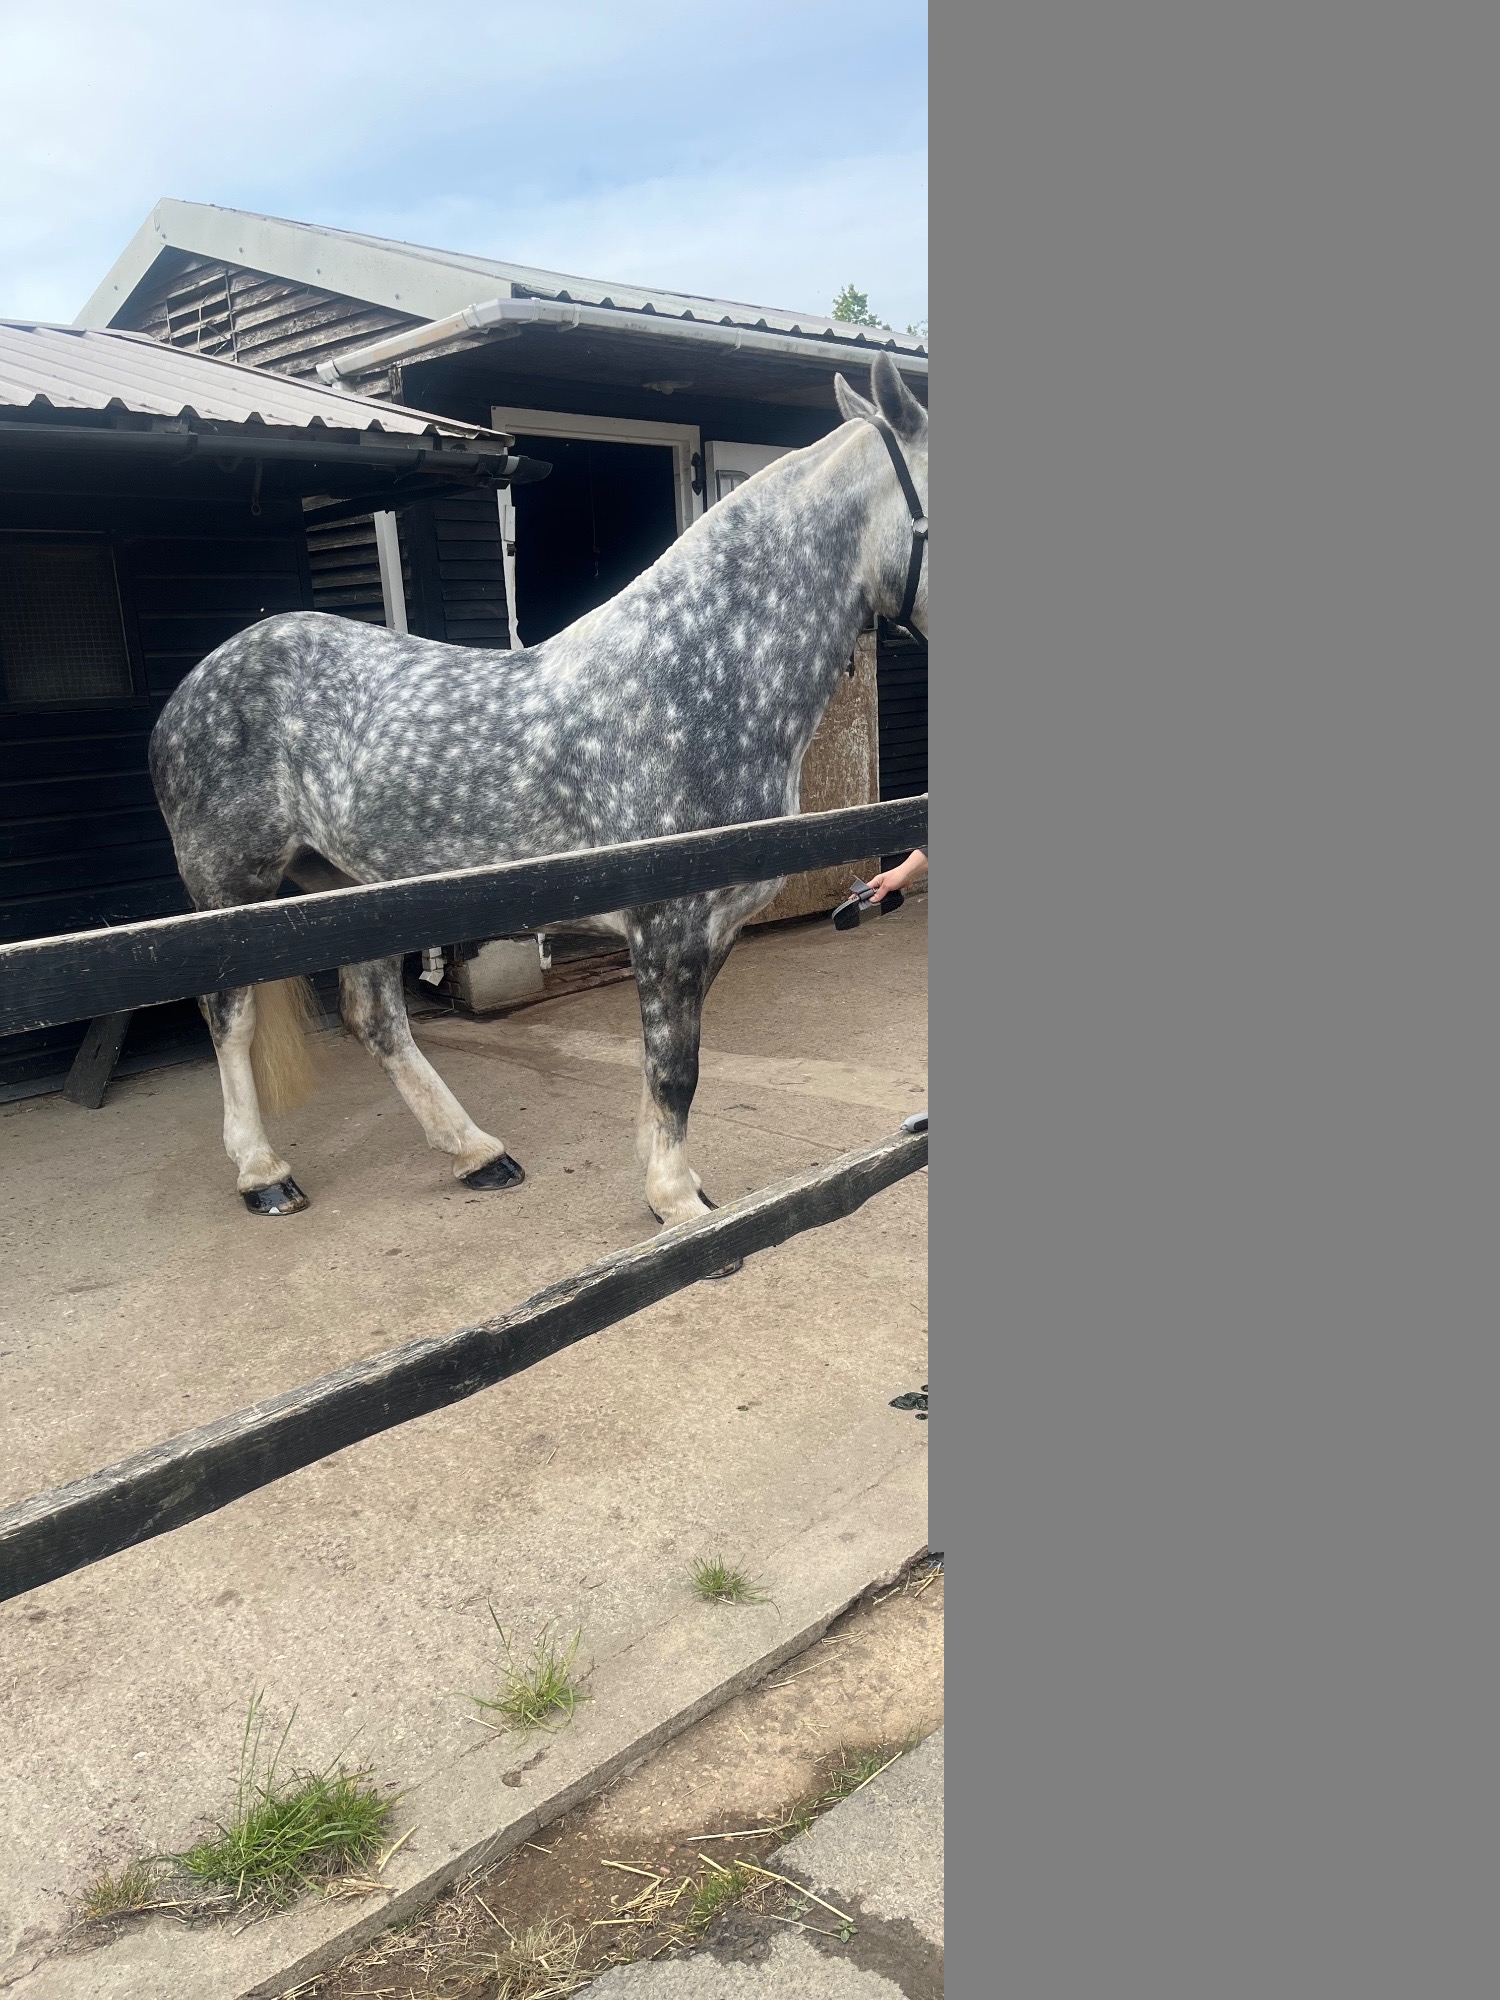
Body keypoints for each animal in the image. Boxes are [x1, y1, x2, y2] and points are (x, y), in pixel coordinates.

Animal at [148, 354, 928, 1248]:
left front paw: (670, 1186)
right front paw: (676, 1204)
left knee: (375, 1018)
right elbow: (676, 1071)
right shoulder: (668, 926)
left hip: (352, 891)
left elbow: (668, 1069)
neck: (690, 680)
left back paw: (476, 1153)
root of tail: (195, 686)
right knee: (229, 1016)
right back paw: (263, 1173)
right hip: (229, 891)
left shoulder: (713, 929)